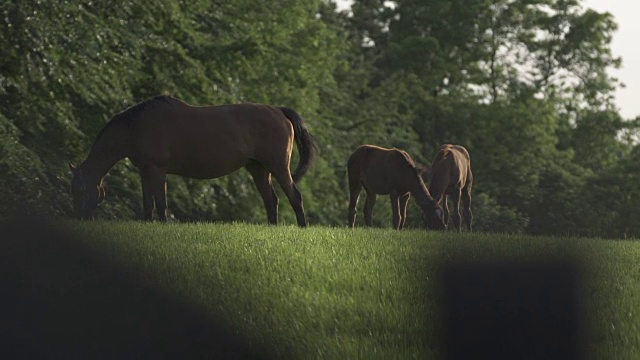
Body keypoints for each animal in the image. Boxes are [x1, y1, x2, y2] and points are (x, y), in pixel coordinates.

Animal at [69, 94, 316, 226]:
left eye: (80, 190)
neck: (136, 126)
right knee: (271, 200)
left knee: (295, 197)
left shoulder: (157, 170)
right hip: (258, 169)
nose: (79, 217)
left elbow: (161, 203)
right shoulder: (145, 171)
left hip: (278, 167)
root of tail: (279, 110)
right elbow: (148, 203)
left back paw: (302, 227)